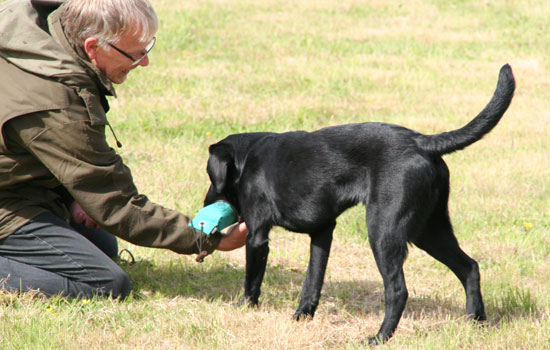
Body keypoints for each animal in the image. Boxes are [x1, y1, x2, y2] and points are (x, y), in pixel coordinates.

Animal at [204, 64, 516, 344]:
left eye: (210, 176)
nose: (205, 202)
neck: (247, 158)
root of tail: (422, 142)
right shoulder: (322, 232)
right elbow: (312, 280)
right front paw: (302, 317)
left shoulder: (258, 235)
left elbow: (252, 279)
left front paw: (245, 307)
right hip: (429, 229)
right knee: (469, 267)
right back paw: (476, 322)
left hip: (383, 231)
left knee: (398, 290)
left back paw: (380, 337)